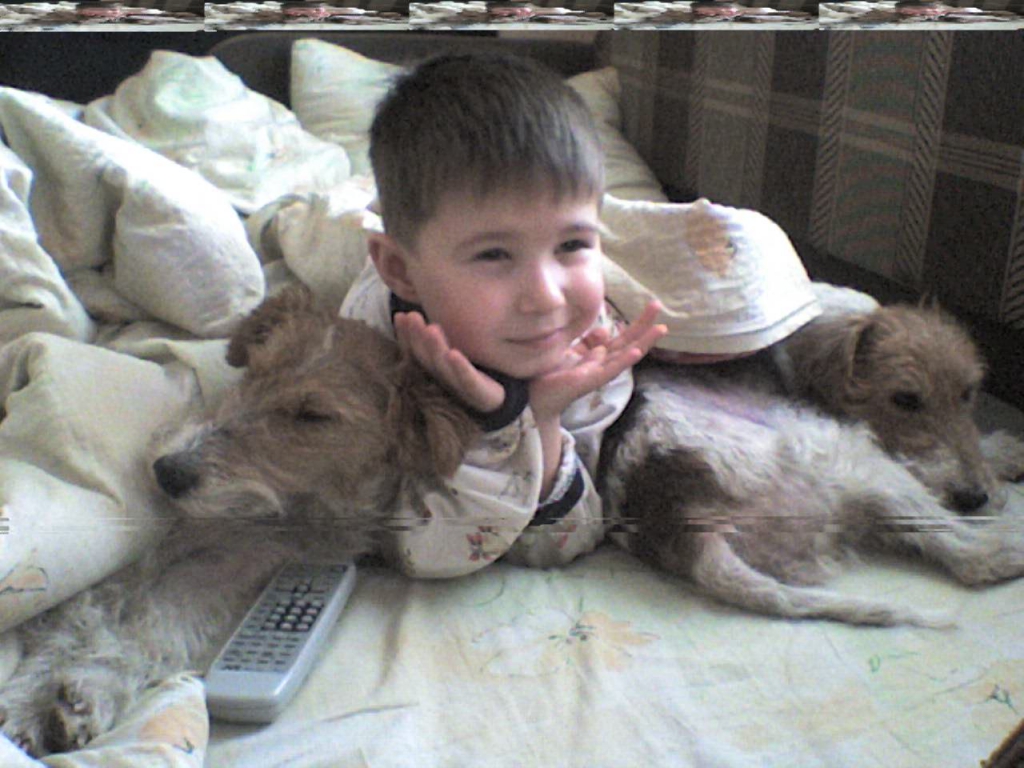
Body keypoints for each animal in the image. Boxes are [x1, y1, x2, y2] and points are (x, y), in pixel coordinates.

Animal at [0, 285, 478, 756]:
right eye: (255, 371)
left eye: (314, 415)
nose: (168, 471)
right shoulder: (131, 562)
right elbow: (74, 624)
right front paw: (26, 708)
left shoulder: (222, 576)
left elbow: (150, 632)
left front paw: (87, 693)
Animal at [599, 299, 1024, 627]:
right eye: (905, 399)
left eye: (969, 393)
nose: (974, 497)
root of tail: (682, 521)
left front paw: (1007, 454)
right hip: (858, 460)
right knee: (973, 554)